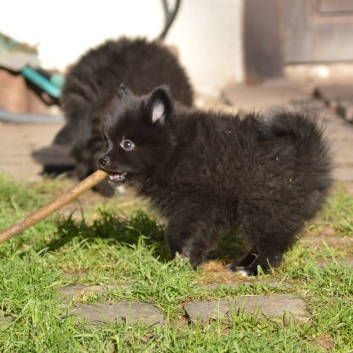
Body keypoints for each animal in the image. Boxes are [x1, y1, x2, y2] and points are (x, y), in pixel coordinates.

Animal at [97, 84, 332, 276]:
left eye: (127, 144)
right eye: (107, 140)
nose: (102, 160)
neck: (174, 150)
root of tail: (308, 152)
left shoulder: (199, 202)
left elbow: (174, 231)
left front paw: (178, 261)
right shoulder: (206, 212)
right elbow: (197, 234)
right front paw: (189, 261)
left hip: (262, 204)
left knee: (271, 246)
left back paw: (256, 269)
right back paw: (241, 263)